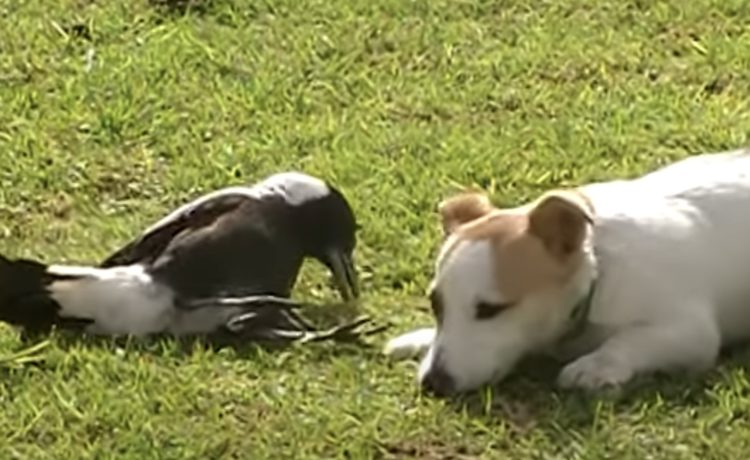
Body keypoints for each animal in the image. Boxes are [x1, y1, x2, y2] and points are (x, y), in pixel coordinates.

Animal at [384, 147, 750, 396]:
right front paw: (420, 337)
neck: (597, 271)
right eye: (436, 305)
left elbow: (628, 339)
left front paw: (597, 364)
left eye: (491, 309)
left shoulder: (690, 331)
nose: (433, 383)